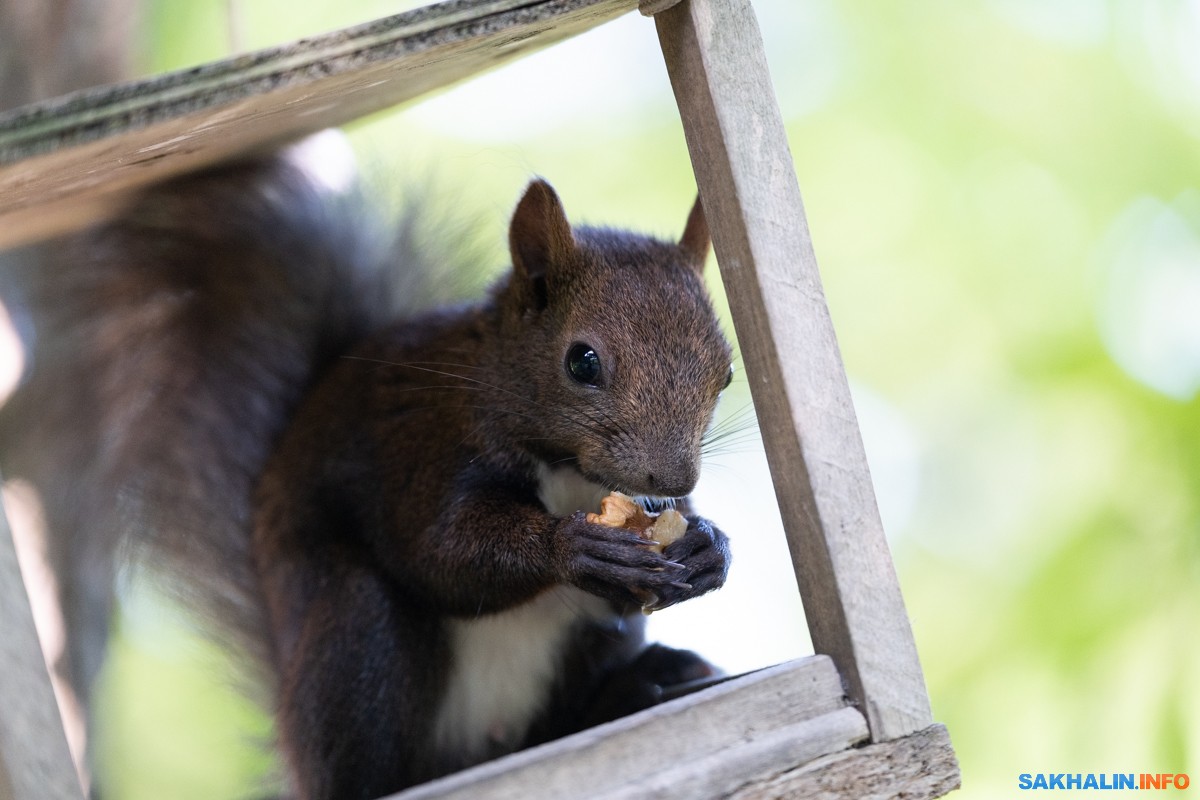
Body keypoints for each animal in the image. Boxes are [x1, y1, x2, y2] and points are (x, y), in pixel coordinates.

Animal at [0, 137, 729, 800]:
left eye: (724, 371)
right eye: (582, 362)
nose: (673, 482)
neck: (565, 469)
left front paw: (707, 546)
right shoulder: (420, 448)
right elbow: (442, 552)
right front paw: (572, 547)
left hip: (582, 652)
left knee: (560, 721)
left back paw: (638, 687)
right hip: (358, 634)